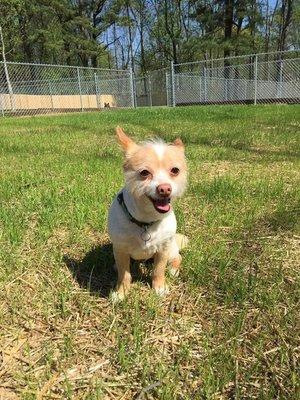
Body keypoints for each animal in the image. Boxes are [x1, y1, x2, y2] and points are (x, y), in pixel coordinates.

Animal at [108, 126, 188, 298]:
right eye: (144, 173)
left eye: (175, 170)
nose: (165, 188)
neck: (145, 221)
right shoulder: (120, 249)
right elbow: (124, 274)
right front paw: (121, 293)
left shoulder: (163, 250)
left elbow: (158, 270)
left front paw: (159, 288)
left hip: (171, 249)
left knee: (178, 257)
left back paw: (173, 269)